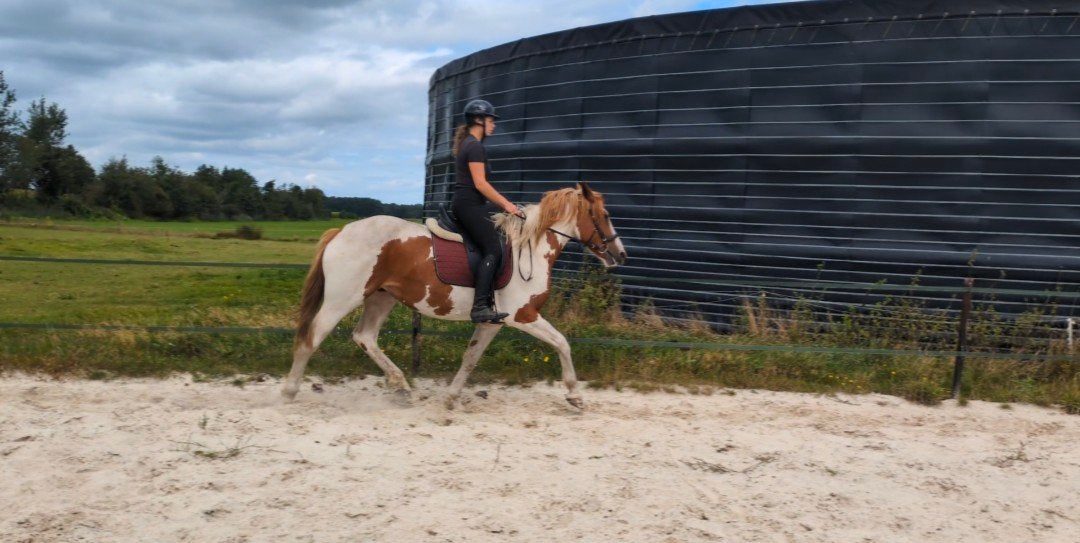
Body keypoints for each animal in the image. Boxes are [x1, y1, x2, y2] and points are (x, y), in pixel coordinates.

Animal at [282, 182, 628, 409]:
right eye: (605, 214)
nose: (620, 254)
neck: (530, 248)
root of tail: (340, 231)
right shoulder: (524, 315)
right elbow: (562, 343)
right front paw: (574, 395)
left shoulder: (492, 322)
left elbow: (470, 358)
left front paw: (450, 397)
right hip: (343, 299)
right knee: (312, 337)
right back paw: (289, 391)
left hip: (381, 297)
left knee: (365, 337)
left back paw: (402, 387)